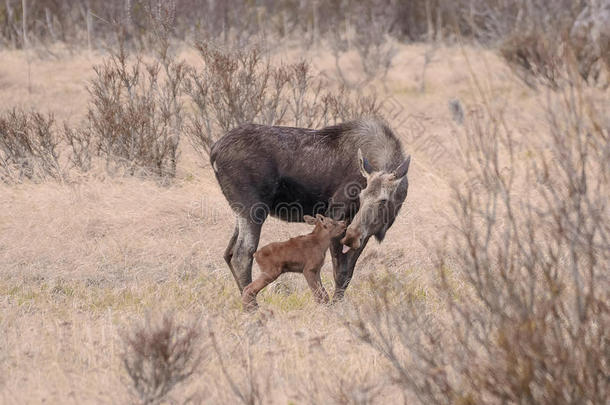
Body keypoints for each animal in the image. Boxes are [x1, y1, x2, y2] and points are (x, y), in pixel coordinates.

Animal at [208, 117, 408, 300]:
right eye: (360, 196)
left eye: (383, 200)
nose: (351, 235)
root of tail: (214, 151)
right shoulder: (335, 213)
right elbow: (339, 272)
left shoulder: (364, 232)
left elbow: (348, 272)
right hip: (253, 209)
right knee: (242, 254)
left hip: (241, 211)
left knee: (229, 253)